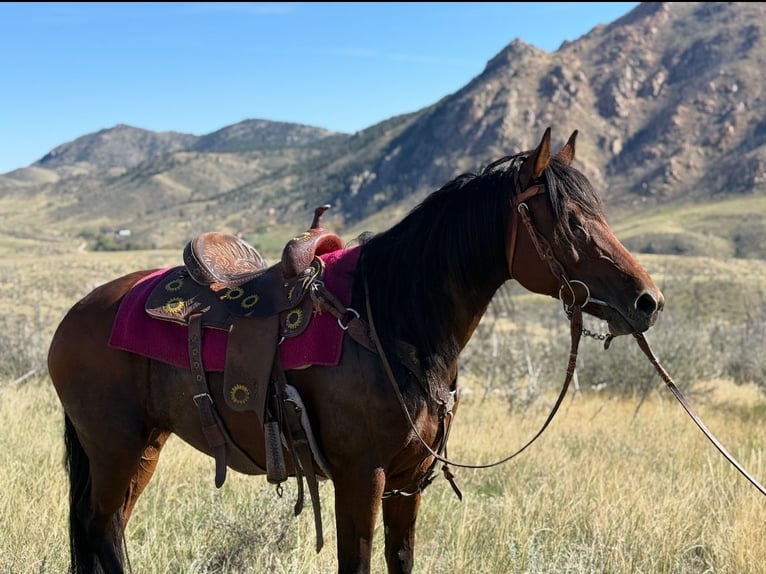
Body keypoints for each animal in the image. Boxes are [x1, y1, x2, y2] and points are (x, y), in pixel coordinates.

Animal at [47, 127, 664, 574]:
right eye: (573, 222)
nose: (647, 301)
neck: (391, 320)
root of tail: (73, 315)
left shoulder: (407, 482)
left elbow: (400, 561)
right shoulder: (360, 477)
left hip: (142, 449)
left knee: (108, 529)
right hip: (115, 448)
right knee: (103, 532)